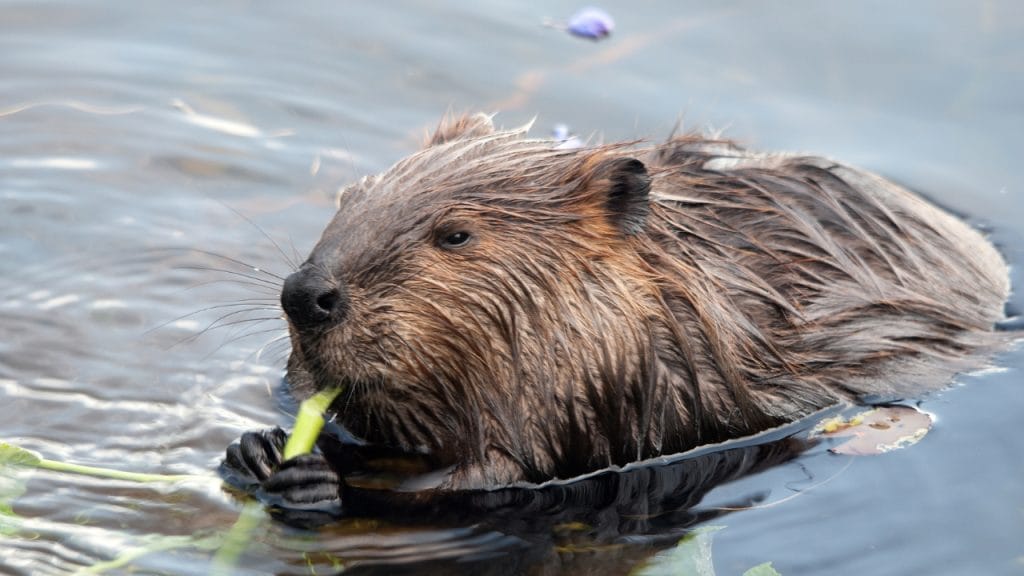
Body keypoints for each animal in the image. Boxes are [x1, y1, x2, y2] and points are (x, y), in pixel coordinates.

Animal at [222, 113, 1007, 510]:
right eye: (350, 196)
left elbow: (489, 477)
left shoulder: (624, 391)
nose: (306, 295)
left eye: (456, 234)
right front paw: (258, 447)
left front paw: (316, 474)